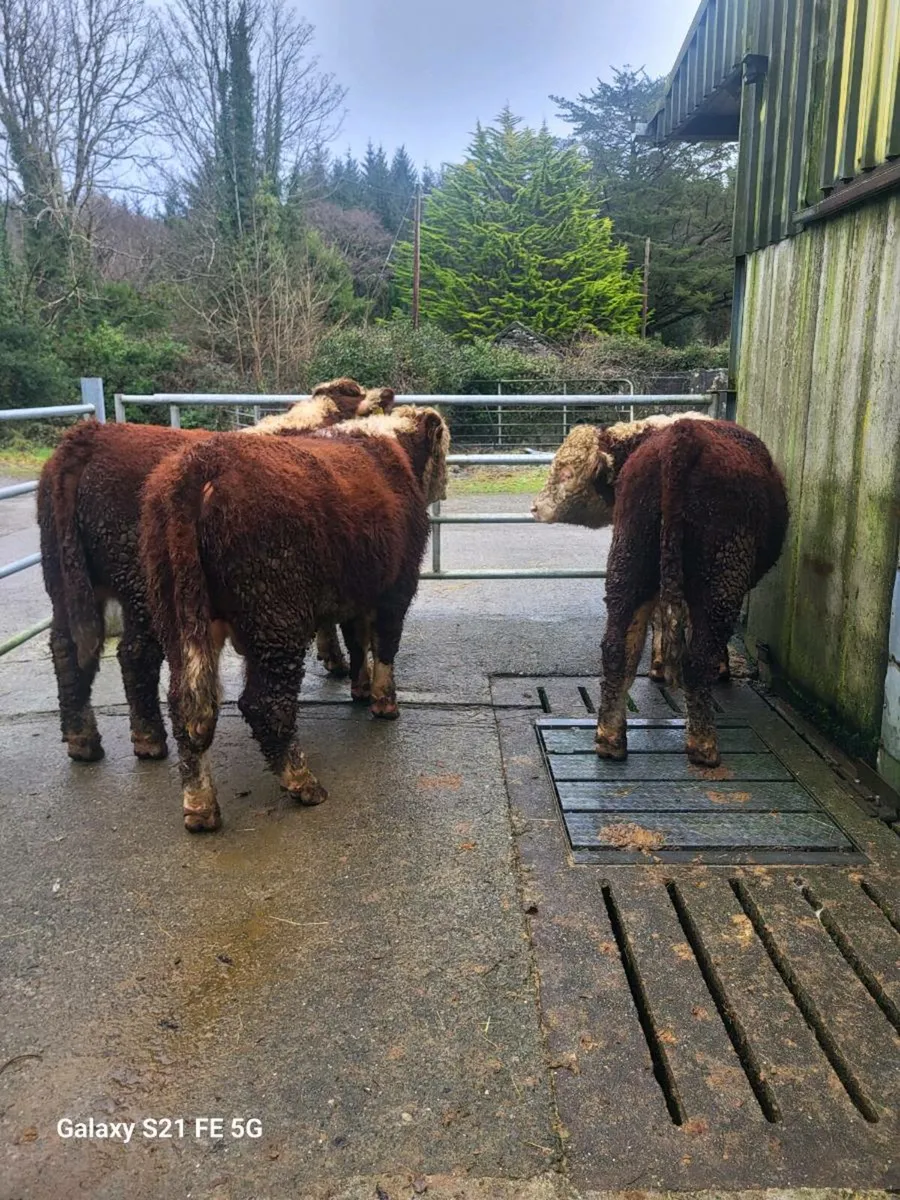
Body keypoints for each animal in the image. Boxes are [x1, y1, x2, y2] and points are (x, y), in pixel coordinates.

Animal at [37, 378, 393, 764]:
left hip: (62, 579)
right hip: (142, 588)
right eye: (355, 396)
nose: (387, 394)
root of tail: (90, 435)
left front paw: (333, 659)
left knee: (67, 646)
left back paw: (82, 739)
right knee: (134, 652)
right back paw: (149, 739)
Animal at [139, 405, 449, 832]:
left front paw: (360, 688)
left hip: (178, 615)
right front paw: (384, 702)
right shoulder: (396, 588)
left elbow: (356, 641)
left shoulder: (355, 593)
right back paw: (302, 782)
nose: (446, 485)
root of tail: (199, 464)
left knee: (188, 708)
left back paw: (200, 806)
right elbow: (385, 644)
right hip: (276, 616)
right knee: (264, 704)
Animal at [531, 416, 788, 767]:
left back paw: (610, 740)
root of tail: (683, 434)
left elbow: (660, 620)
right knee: (697, 658)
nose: (534, 508)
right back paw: (703, 746)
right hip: (722, 574)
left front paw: (657, 667)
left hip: (630, 561)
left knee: (617, 648)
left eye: (568, 472)